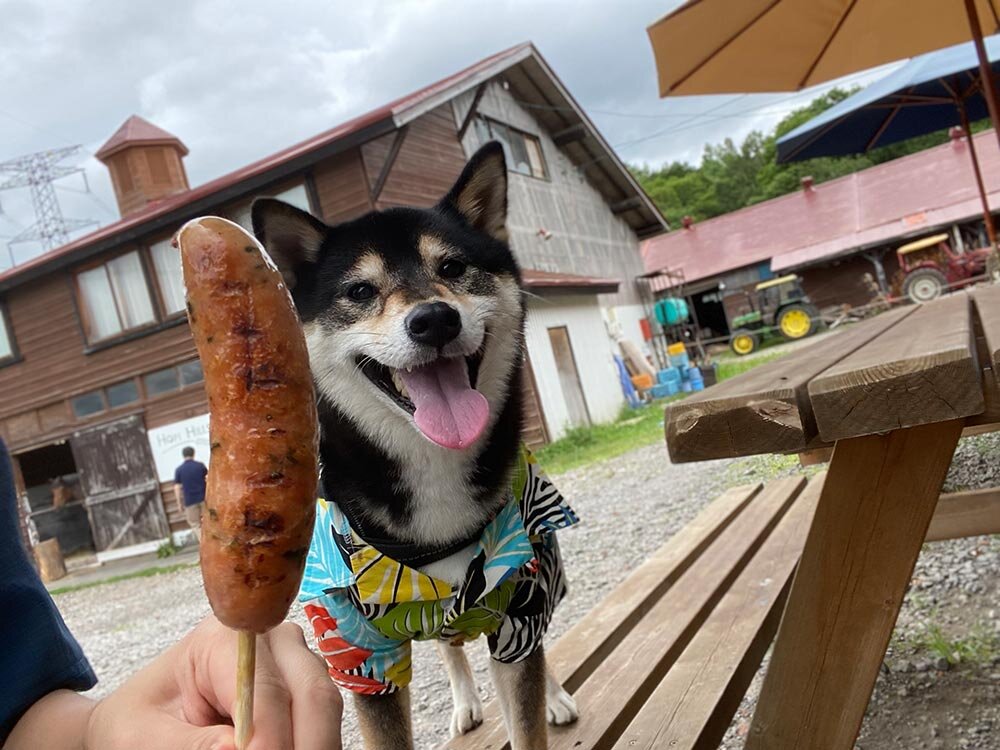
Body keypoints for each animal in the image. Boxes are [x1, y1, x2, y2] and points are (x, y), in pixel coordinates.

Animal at [250, 144, 580, 748]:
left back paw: (556, 697)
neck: (433, 467)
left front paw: (543, 702)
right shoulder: (358, 652)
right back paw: (466, 702)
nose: (433, 319)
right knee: (449, 646)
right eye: (360, 291)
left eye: (452, 267)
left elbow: (526, 706)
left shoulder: (519, 605)